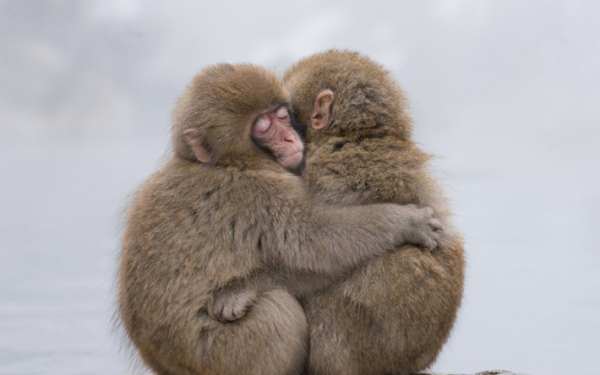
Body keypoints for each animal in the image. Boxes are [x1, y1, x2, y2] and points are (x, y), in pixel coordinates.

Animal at [117, 62, 446, 375]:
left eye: (282, 116)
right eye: (263, 127)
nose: (289, 138)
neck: (225, 162)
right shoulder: (254, 191)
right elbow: (315, 244)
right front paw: (406, 222)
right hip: (227, 354)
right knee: (278, 307)